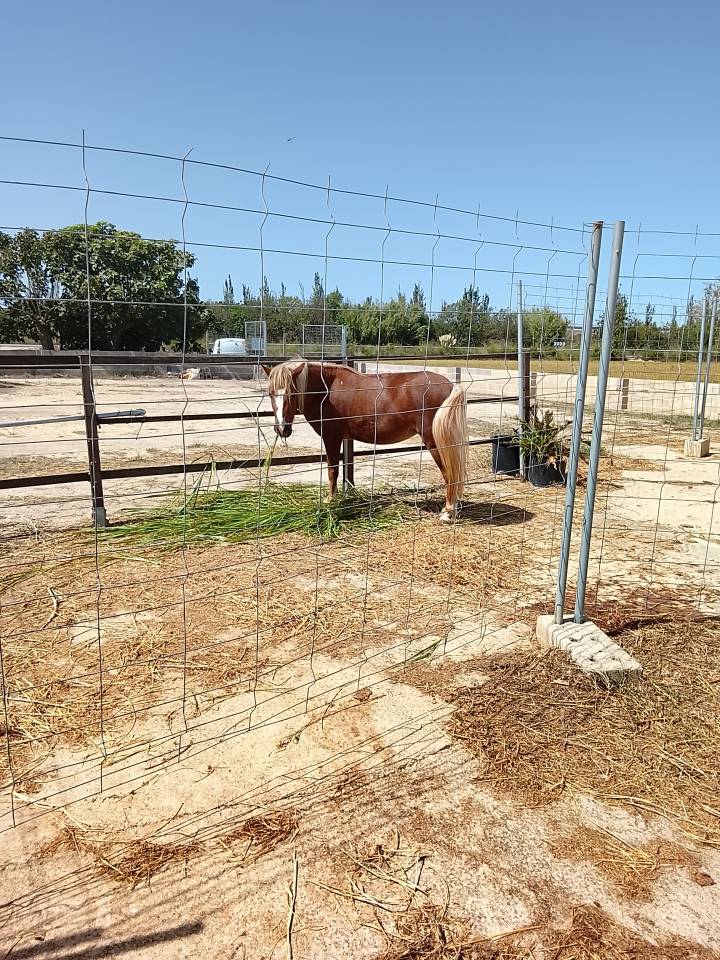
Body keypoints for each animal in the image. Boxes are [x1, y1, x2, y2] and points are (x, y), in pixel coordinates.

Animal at [262, 359, 467, 522]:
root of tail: (451, 386)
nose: (282, 429)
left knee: (449, 474)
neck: (326, 390)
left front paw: (330, 501)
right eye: (271, 393)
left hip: (435, 444)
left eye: (292, 393)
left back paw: (447, 512)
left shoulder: (331, 438)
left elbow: (332, 471)